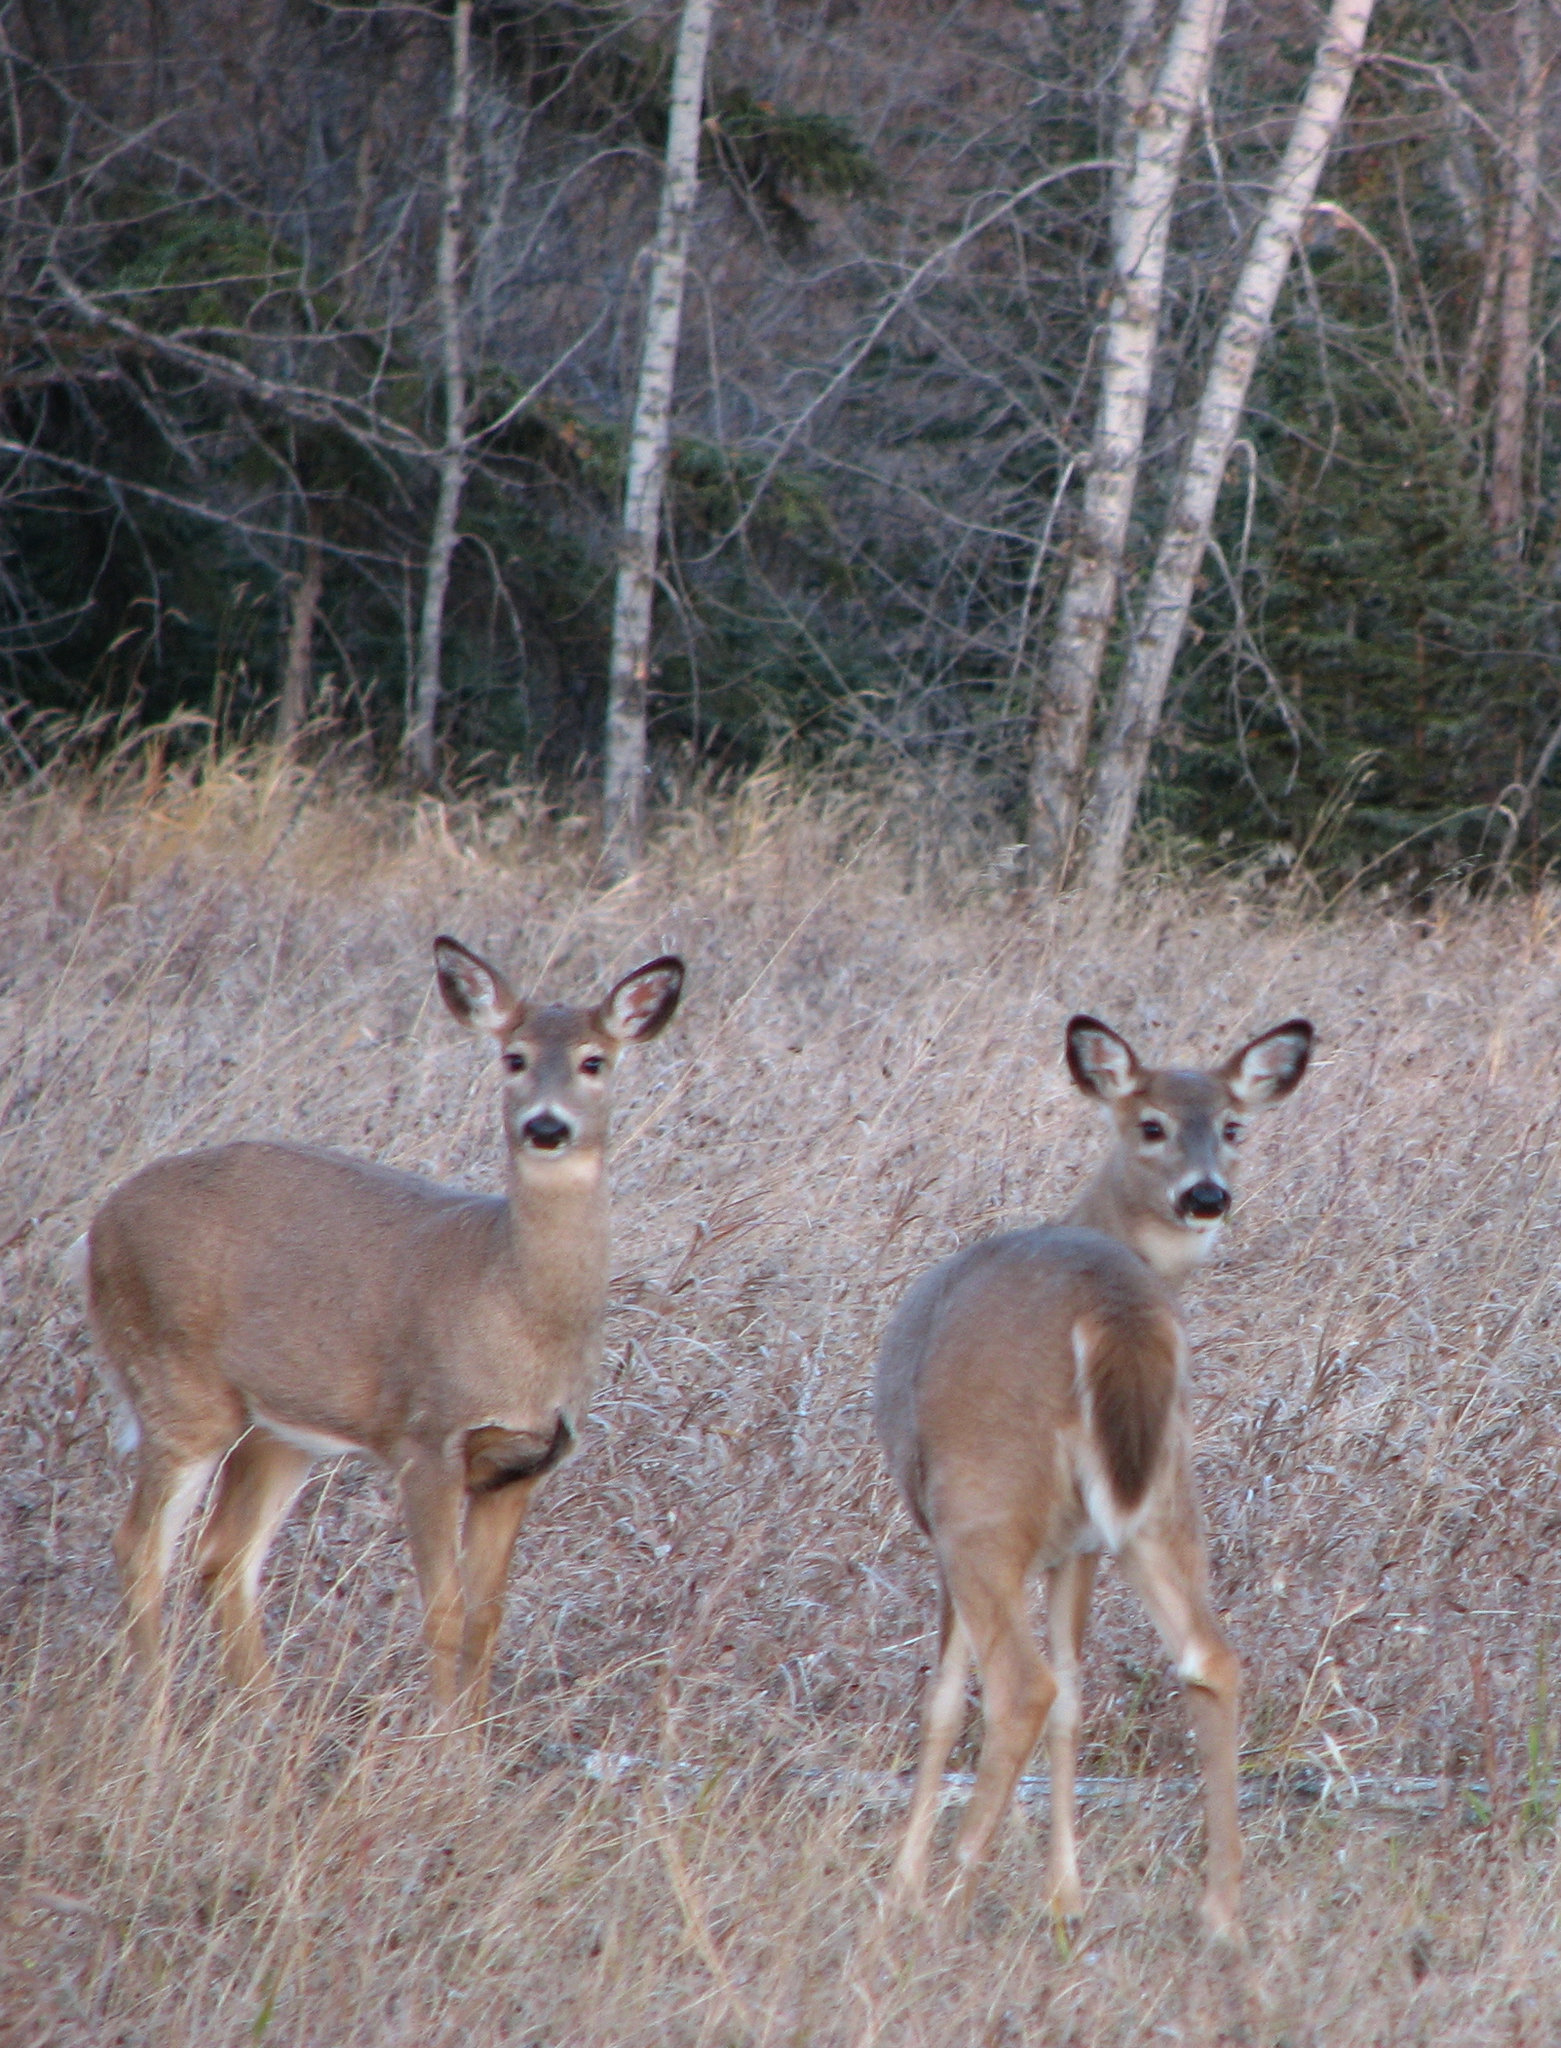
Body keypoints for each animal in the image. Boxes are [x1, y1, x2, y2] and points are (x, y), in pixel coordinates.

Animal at [72, 937, 680, 1712]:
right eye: (512, 1057)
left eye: (594, 1061)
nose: (546, 1126)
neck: (515, 1309)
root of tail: (98, 1225)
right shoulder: (426, 1440)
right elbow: (443, 1611)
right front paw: (441, 1740)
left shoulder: (522, 1465)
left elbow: (486, 1619)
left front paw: (475, 1743)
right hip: (176, 1384)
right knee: (142, 1547)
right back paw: (156, 1719)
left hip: (276, 1428)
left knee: (224, 1557)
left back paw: (262, 1720)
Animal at [868, 1015, 1311, 1941]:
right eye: (1152, 1124)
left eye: (1232, 1127)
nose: (1206, 1195)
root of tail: (1114, 1311)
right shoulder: (1081, 1545)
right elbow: (1078, 1697)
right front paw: (1064, 1895)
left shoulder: (947, 1528)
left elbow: (942, 1702)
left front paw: (904, 1885)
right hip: (1164, 1496)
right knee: (1208, 1658)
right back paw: (1220, 1911)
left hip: (981, 1501)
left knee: (1018, 1686)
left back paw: (949, 1898)